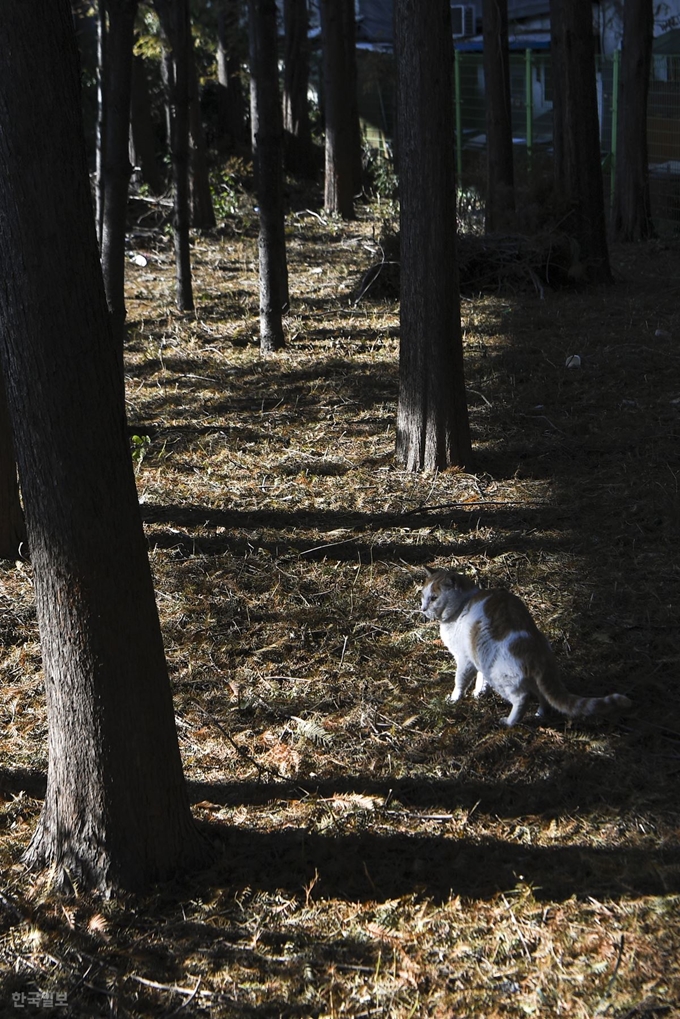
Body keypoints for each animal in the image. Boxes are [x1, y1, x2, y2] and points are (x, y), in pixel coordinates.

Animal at [420, 570, 632, 729]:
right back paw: (540, 715)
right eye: (422, 596)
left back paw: (509, 722)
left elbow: (460, 681)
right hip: (527, 677)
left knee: (522, 699)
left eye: (434, 598)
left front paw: (454, 698)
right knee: (544, 698)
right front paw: (479, 693)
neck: (462, 606)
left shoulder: (465, 659)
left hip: (502, 678)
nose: (422, 608)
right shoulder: (477, 656)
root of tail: (537, 650)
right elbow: (481, 679)